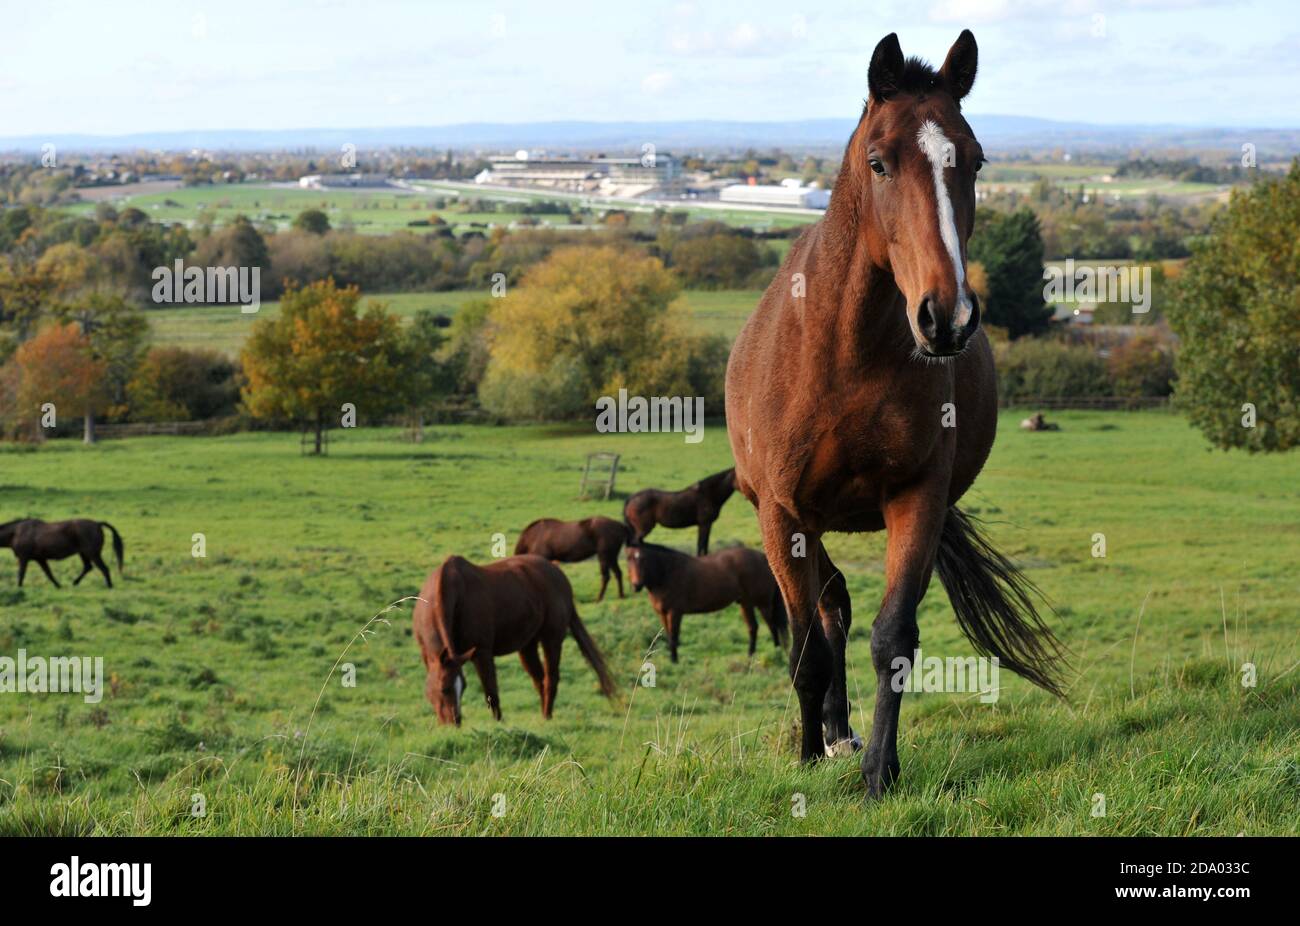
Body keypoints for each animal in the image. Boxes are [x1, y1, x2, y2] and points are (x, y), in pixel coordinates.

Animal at [416, 548, 618, 723]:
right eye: (444, 688)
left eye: (461, 687)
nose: (454, 722)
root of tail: (559, 575)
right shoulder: (430, 655)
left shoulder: (482, 653)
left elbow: (491, 693)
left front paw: (498, 724)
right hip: (527, 646)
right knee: (539, 679)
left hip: (551, 639)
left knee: (550, 678)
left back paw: (547, 717)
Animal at [624, 543, 785, 665]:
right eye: (628, 560)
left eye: (643, 559)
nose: (636, 585)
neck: (667, 573)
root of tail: (764, 558)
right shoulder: (662, 614)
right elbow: (669, 636)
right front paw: (672, 659)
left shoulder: (675, 613)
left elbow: (674, 637)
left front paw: (674, 661)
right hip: (745, 604)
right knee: (753, 628)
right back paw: (750, 656)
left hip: (762, 604)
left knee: (772, 626)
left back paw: (777, 652)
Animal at [722, 30, 1066, 795]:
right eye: (879, 162)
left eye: (974, 159)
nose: (947, 316)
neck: (843, 353)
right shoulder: (781, 514)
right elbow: (805, 648)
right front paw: (806, 755)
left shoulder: (917, 496)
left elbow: (892, 637)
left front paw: (880, 769)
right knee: (825, 610)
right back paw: (825, 734)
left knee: (841, 606)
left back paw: (843, 733)